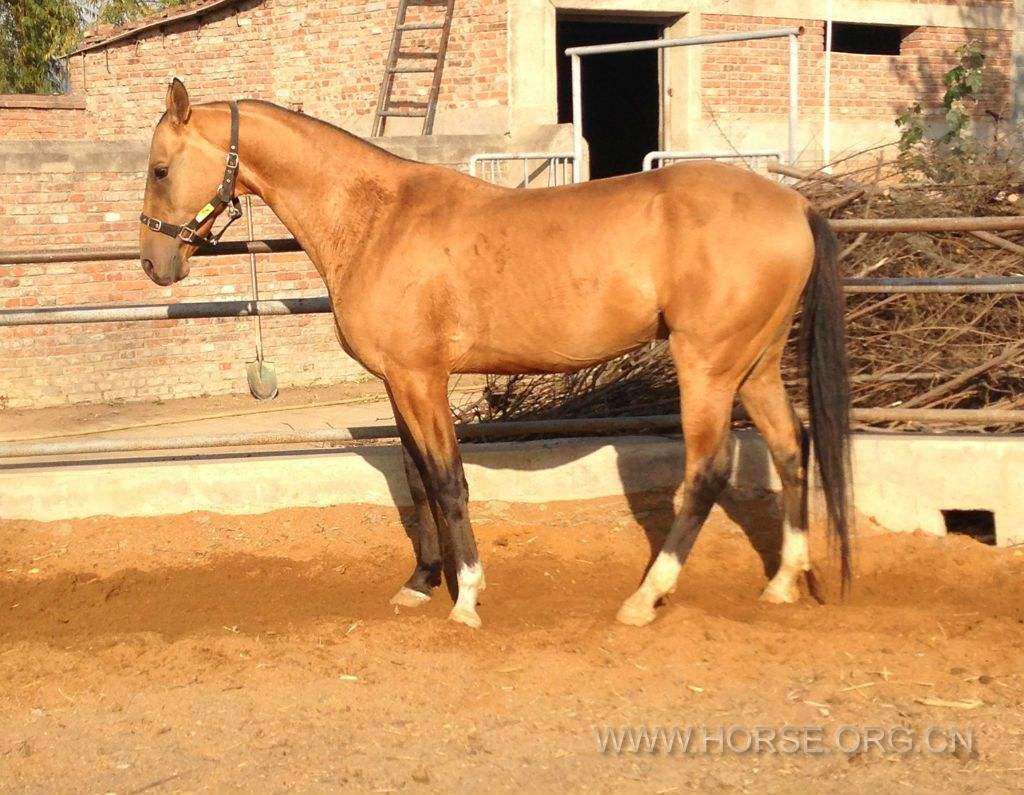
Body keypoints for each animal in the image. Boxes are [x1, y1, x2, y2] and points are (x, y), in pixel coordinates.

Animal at [140, 79, 851, 626]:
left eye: (159, 169)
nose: (153, 263)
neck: (377, 219)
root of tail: (793, 203)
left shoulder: (422, 379)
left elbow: (448, 479)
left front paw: (467, 599)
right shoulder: (400, 382)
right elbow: (417, 479)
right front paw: (421, 583)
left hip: (707, 367)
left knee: (706, 472)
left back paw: (644, 599)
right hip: (754, 366)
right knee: (791, 446)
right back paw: (782, 584)